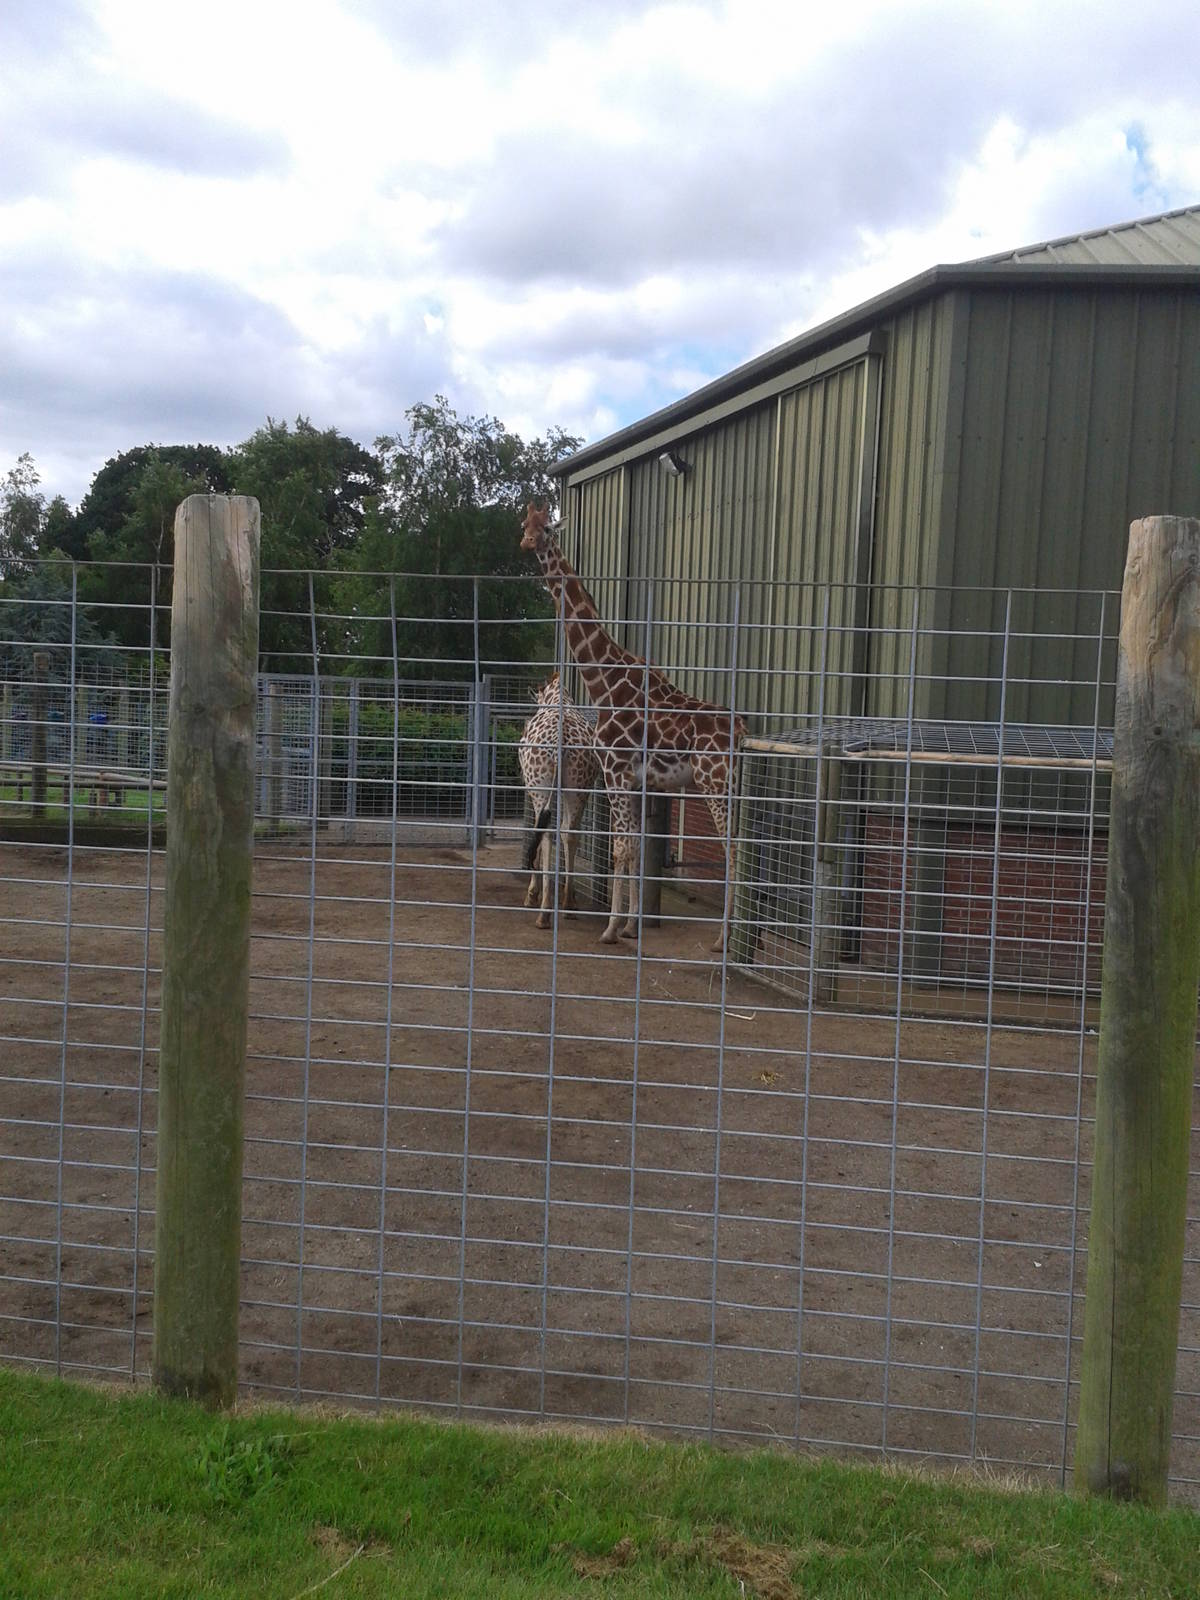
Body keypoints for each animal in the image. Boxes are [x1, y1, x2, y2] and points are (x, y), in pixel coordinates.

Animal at [518, 672, 599, 929]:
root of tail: (559, 745)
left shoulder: (533, 787)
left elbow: (537, 829)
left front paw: (532, 895)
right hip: (579, 786)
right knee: (569, 833)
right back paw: (568, 904)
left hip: (539, 785)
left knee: (545, 833)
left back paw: (543, 912)